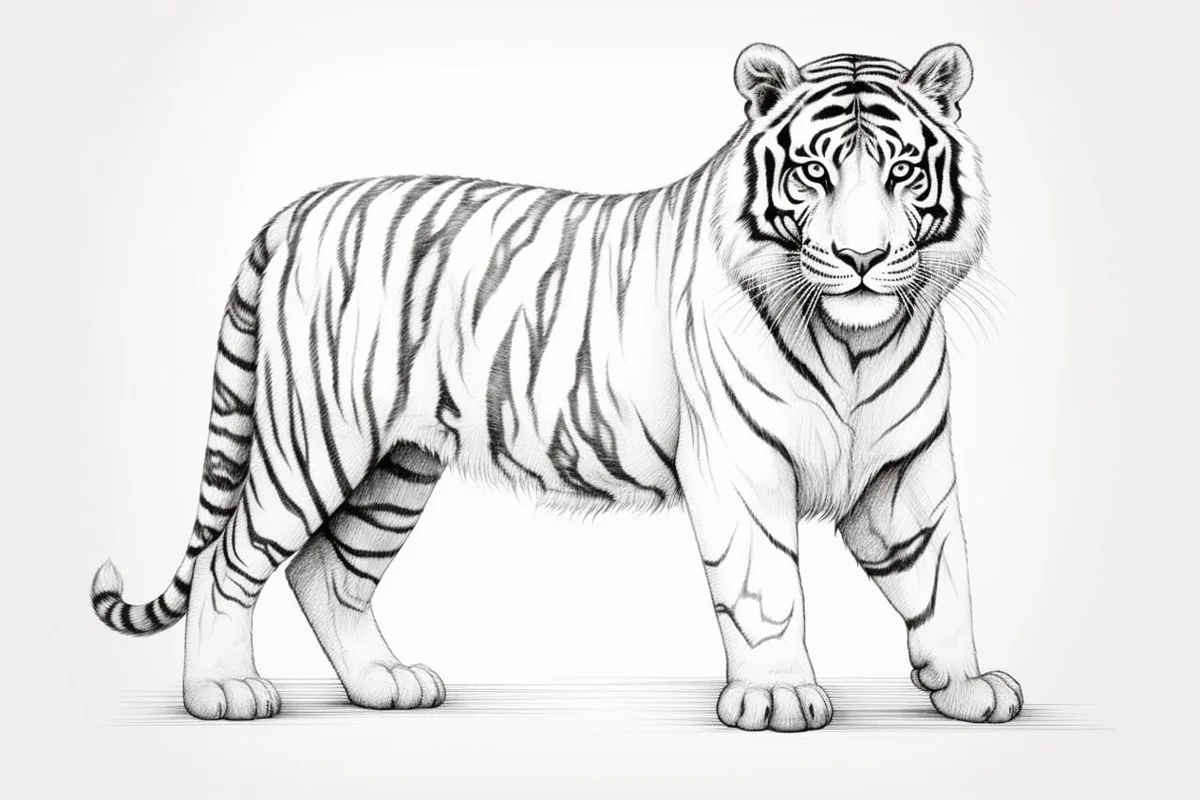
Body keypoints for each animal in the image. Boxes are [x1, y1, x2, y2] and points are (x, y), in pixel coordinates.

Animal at [90, 41, 1023, 731]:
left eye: (902, 172)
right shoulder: (742, 465)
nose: (864, 259)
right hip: (313, 439)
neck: (855, 342)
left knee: (329, 571)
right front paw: (779, 697)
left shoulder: (907, 473)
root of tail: (292, 213)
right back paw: (222, 694)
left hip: (396, 467)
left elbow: (944, 581)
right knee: (229, 559)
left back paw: (386, 681)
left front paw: (968, 688)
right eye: (815, 174)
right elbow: (766, 588)